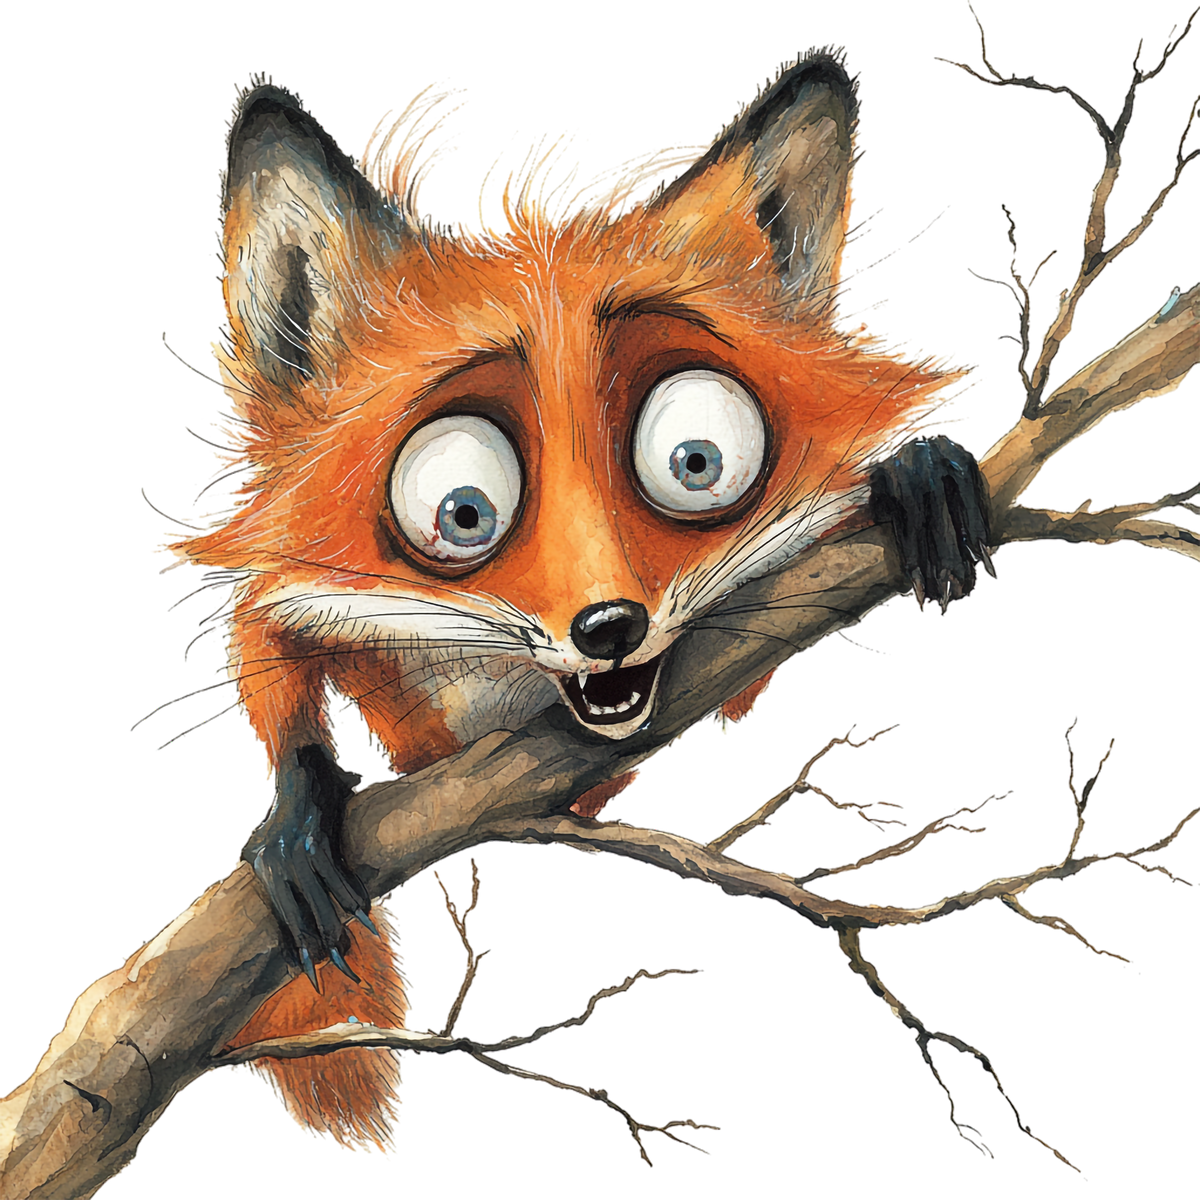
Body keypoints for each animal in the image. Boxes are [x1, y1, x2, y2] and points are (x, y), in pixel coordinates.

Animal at [143, 43, 994, 1161]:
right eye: (463, 510)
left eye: (696, 461)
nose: (608, 627)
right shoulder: (291, 585)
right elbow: (265, 650)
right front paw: (297, 812)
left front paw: (912, 476)